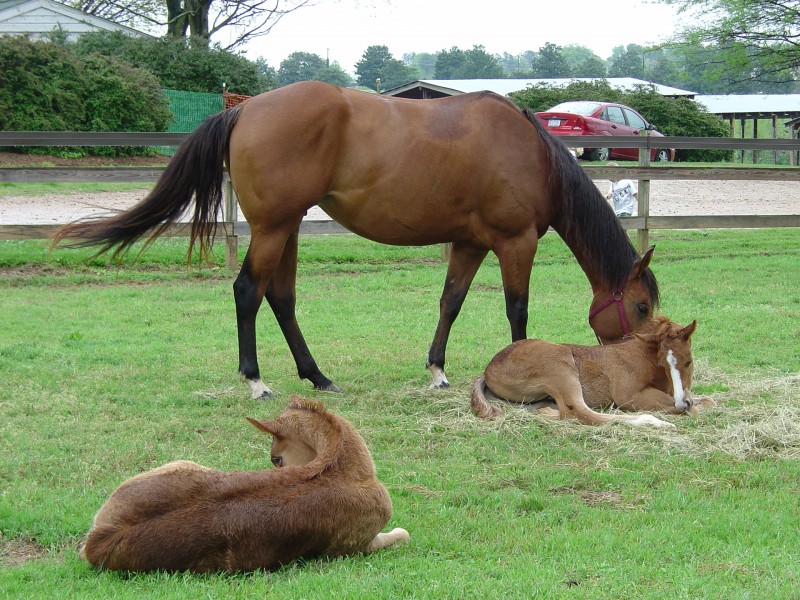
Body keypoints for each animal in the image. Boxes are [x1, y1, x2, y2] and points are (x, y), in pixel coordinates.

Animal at [53, 79, 660, 398]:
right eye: (641, 306)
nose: (640, 367)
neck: (531, 153)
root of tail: (244, 108)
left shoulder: (469, 244)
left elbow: (451, 302)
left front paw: (437, 370)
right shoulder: (515, 243)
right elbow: (517, 311)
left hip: (288, 228)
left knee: (281, 297)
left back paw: (317, 376)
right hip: (273, 228)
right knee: (249, 292)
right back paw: (256, 381)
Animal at [80, 396, 410, 576]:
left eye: (276, 459)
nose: (273, 463)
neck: (342, 465)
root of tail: (99, 542)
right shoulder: (358, 545)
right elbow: (402, 534)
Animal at [468, 318, 712, 426]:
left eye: (688, 362)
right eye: (662, 363)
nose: (682, 401)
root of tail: (489, 369)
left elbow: (707, 401)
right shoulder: (629, 396)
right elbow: (692, 410)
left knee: (563, 411)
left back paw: (546, 412)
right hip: (561, 366)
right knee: (579, 412)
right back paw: (653, 421)